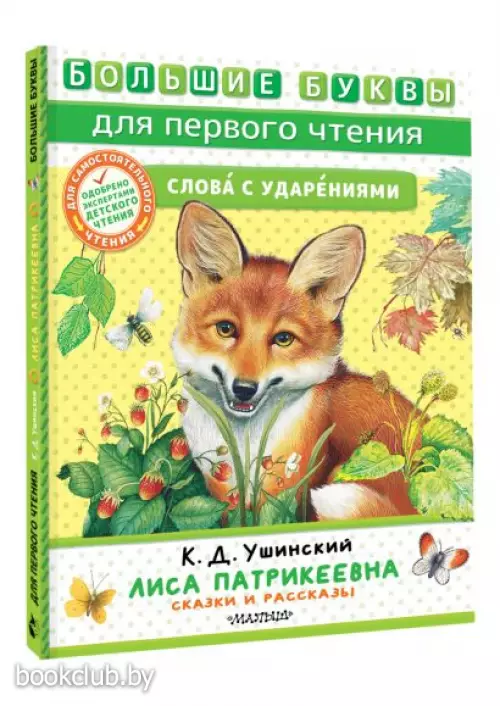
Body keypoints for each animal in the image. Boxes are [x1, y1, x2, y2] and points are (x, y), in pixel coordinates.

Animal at [172, 200, 418, 521]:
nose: (244, 389)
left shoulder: (289, 484)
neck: (245, 441)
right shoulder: (223, 489)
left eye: (283, 339)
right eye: (226, 329)